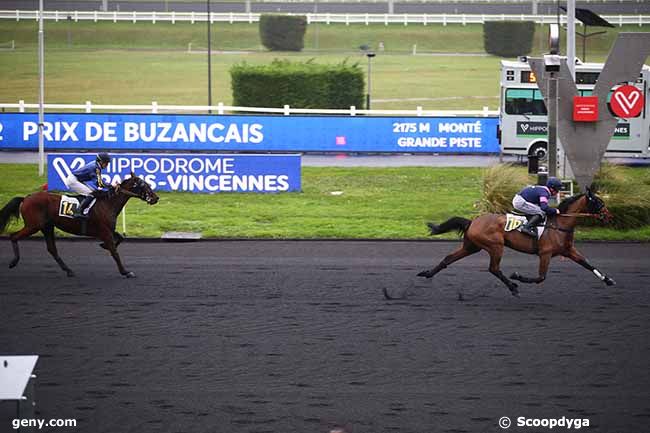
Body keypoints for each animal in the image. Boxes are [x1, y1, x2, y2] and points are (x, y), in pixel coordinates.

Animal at [0, 174, 157, 278]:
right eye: (144, 185)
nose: (156, 198)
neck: (108, 203)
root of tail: (26, 198)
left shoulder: (108, 230)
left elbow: (120, 239)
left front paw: (103, 246)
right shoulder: (104, 231)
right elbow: (114, 252)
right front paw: (125, 272)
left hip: (47, 226)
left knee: (52, 249)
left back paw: (69, 270)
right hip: (34, 225)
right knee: (13, 236)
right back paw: (13, 262)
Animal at [416, 189, 612, 296]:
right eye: (598, 202)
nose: (608, 216)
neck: (560, 224)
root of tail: (473, 221)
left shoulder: (568, 251)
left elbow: (587, 264)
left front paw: (608, 279)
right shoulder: (545, 253)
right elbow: (541, 277)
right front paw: (517, 276)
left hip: (472, 246)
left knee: (448, 259)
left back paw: (427, 273)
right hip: (495, 246)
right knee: (493, 269)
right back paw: (513, 286)